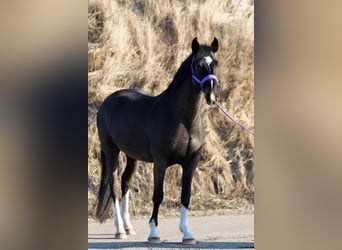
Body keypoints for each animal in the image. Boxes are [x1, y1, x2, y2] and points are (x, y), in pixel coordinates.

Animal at [95, 37, 220, 244]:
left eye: (216, 63)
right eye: (198, 64)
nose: (212, 96)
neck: (182, 119)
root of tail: (107, 101)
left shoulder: (191, 162)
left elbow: (186, 196)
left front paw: (187, 234)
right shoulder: (160, 162)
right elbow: (158, 196)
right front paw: (154, 233)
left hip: (132, 156)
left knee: (125, 182)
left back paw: (128, 227)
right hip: (111, 150)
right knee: (114, 187)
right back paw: (119, 229)